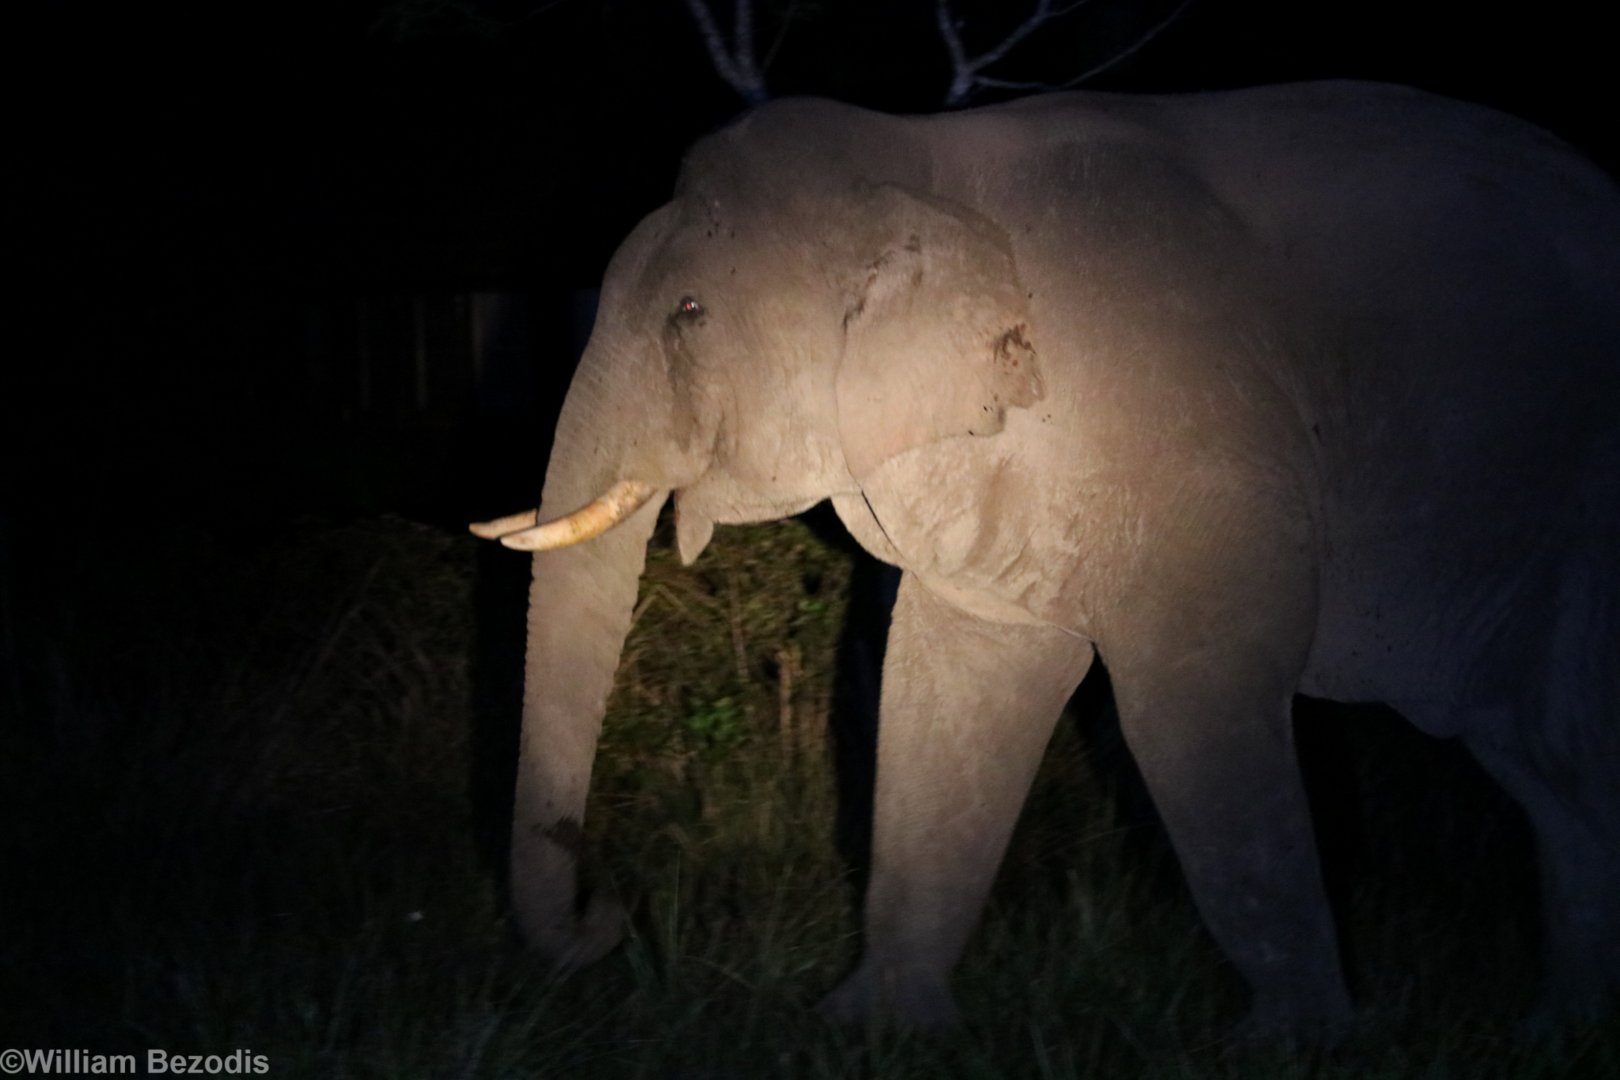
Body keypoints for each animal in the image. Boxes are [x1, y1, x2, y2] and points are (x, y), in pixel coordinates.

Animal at [471, 81, 1620, 1035]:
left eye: (689, 314)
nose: (608, 919)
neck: (915, 166)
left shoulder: (1193, 448)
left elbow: (1188, 706)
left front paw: (1296, 1046)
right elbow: (946, 692)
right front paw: (870, 1030)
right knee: (1544, 760)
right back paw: (1557, 1031)